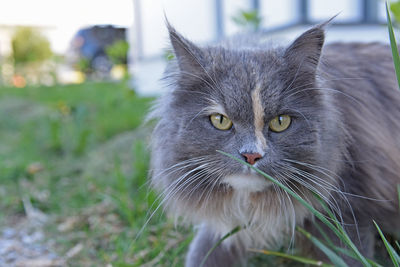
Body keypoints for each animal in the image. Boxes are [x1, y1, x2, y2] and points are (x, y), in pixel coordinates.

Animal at [148, 21, 400, 267]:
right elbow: (203, 254)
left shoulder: (346, 214)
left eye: (281, 122)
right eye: (220, 120)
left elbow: (350, 257)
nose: (251, 155)